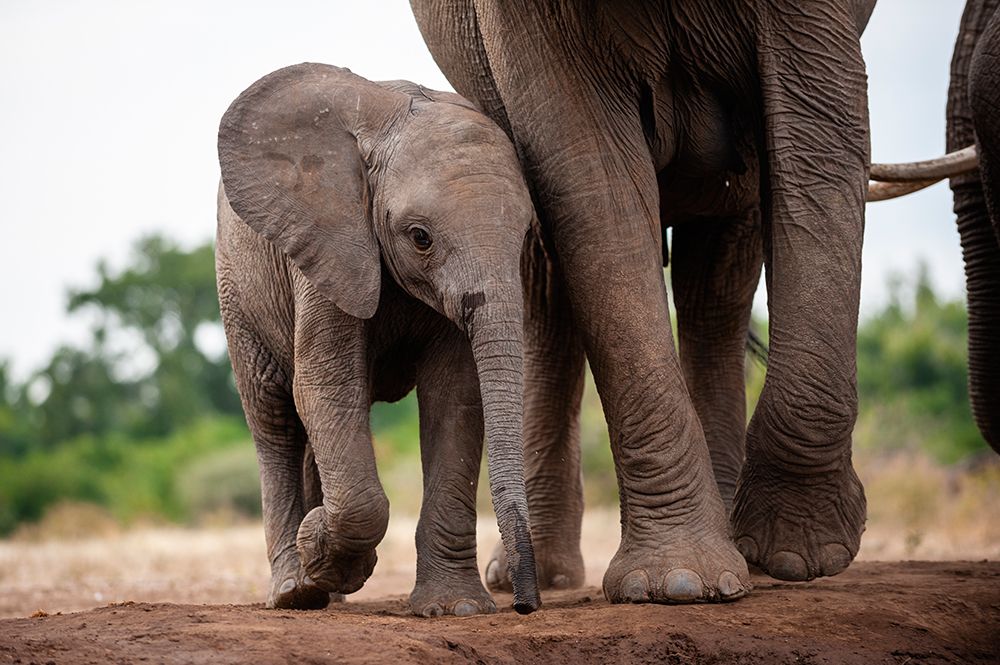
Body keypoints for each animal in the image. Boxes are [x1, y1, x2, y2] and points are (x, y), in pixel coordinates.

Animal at [214, 63, 540, 616]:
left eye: (525, 235)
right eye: (420, 237)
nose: (525, 604)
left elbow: (455, 397)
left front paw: (455, 609)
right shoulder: (329, 244)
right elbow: (326, 388)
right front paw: (323, 550)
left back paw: (325, 591)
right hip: (236, 286)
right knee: (274, 417)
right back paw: (297, 591)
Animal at [412, 0, 879, 601]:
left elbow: (818, 138)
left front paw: (798, 554)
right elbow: (597, 187)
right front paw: (677, 584)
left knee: (718, 275)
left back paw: (747, 555)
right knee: (549, 289)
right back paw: (539, 574)